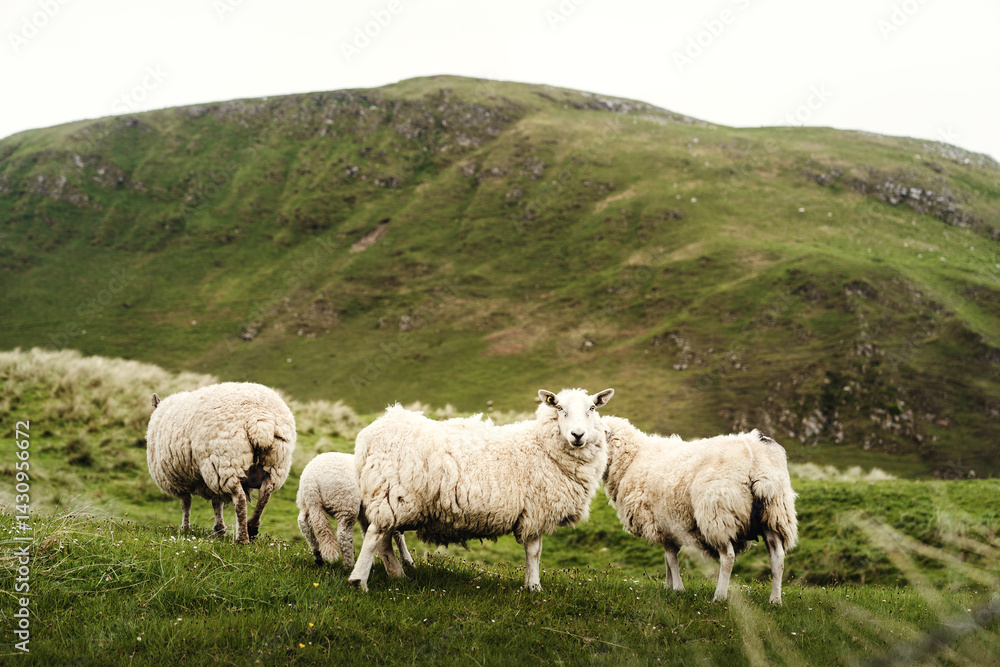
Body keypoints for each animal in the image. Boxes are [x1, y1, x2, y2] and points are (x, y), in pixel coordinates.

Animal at [146, 382, 296, 544]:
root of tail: (260, 422)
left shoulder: (180, 480)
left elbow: (186, 504)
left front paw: (185, 528)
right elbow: (216, 503)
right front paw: (219, 530)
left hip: (226, 461)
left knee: (240, 500)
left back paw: (242, 538)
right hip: (274, 465)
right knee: (265, 493)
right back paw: (252, 528)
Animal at [347, 388, 614, 591]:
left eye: (592, 408)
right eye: (559, 408)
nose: (577, 435)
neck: (541, 445)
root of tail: (372, 432)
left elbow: (533, 552)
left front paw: (530, 584)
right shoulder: (536, 510)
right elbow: (534, 551)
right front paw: (534, 587)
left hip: (387, 495)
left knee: (384, 537)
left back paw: (397, 575)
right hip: (394, 494)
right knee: (375, 535)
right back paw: (359, 581)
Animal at [602, 416, 798, 604]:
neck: (633, 458)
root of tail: (753, 453)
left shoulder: (664, 522)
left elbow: (671, 559)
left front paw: (677, 588)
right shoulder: (668, 527)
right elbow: (668, 559)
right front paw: (668, 586)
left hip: (718, 513)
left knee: (728, 557)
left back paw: (719, 597)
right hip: (775, 514)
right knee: (778, 558)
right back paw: (775, 600)